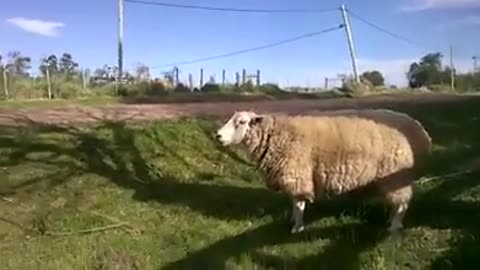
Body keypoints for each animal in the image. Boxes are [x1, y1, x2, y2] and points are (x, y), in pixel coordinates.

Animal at [216, 108, 434, 233]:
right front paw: (293, 221)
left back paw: (395, 226)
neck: (276, 135)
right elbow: (294, 204)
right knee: (397, 202)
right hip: (394, 178)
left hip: (397, 174)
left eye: (241, 122)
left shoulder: (298, 175)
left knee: (401, 203)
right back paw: (390, 221)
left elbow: (299, 205)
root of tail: (421, 132)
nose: (217, 136)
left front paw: (297, 227)